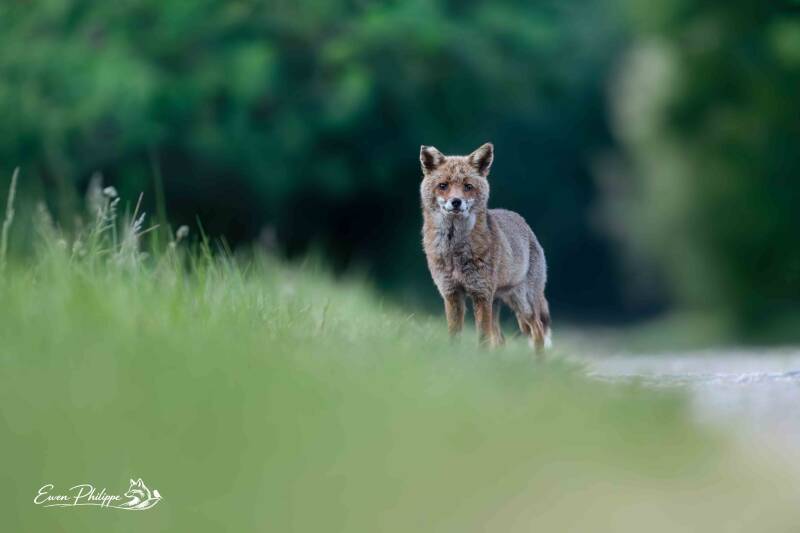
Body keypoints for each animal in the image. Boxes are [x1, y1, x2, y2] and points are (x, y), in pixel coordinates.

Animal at [420, 143, 551, 351]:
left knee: (537, 330)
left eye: (467, 186)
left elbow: (482, 339)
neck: (455, 252)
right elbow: (454, 336)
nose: (456, 202)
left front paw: (478, 358)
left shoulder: (481, 294)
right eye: (443, 186)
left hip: (523, 303)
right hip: (498, 303)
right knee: (501, 340)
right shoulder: (451, 293)